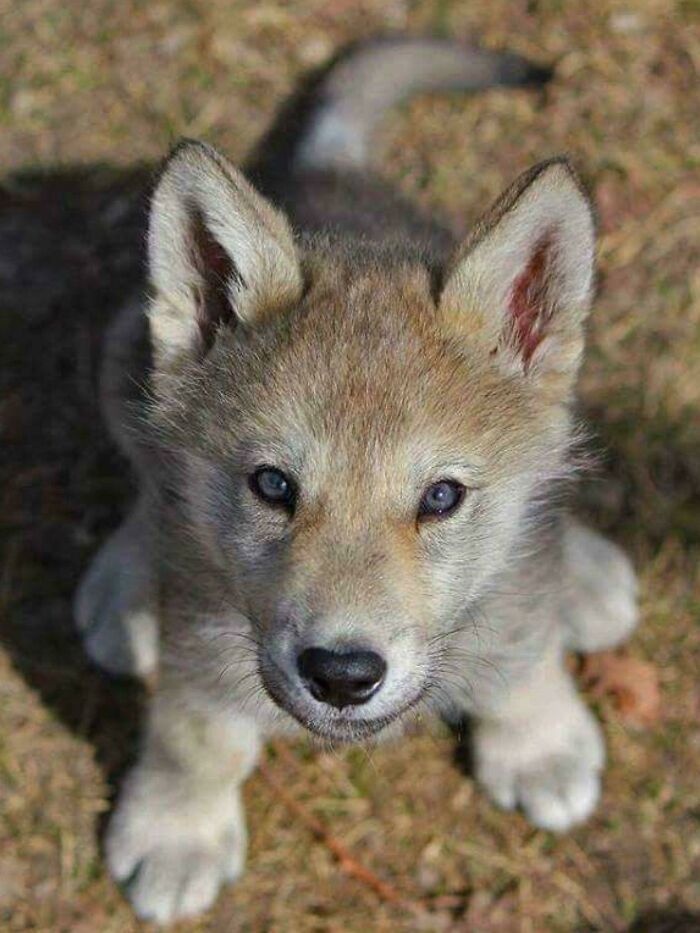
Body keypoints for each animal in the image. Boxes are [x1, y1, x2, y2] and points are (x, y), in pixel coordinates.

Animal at [74, 37, 639, 923]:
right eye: (273, 485)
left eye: (441, 497)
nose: (341, 675)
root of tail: (331, 167)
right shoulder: (202, 630)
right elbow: (194, 734)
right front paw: (176, 827)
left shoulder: (508, 595)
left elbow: (520, 640)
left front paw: (537, 739)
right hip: (125, 353)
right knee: (147, 476)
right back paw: (124, 588)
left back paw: (583, 572)